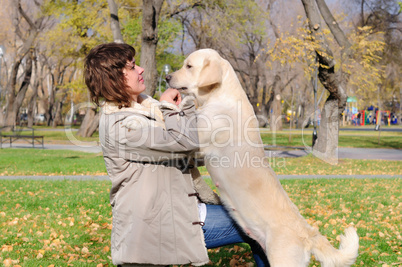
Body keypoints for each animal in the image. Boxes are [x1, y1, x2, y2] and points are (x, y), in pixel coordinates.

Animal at [166, 49, 358, 266]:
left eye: (189, 66)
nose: (167, 77)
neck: (219, 96)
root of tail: (308, 233)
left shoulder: (195, 142)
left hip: (283, 260)